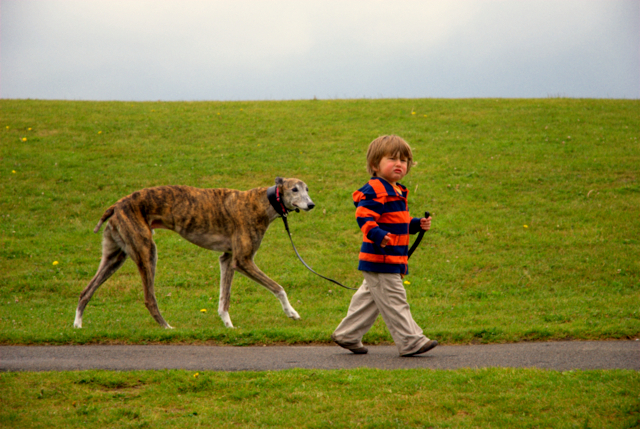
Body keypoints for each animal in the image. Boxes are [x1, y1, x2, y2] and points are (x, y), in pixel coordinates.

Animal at [74, 176, 314, 328]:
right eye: (294, 189)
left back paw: (77, 325)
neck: (263, 201)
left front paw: (228, 325)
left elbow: (224, 298)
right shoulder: (243, 260)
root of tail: (116, 205)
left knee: (86, 291)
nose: (311, 205)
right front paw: (292, 313)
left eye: (307, 189)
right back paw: (167, 327)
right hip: (146, 251)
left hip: (115, 255)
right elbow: (278, 288)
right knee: (149, 298)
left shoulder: (227, 259)